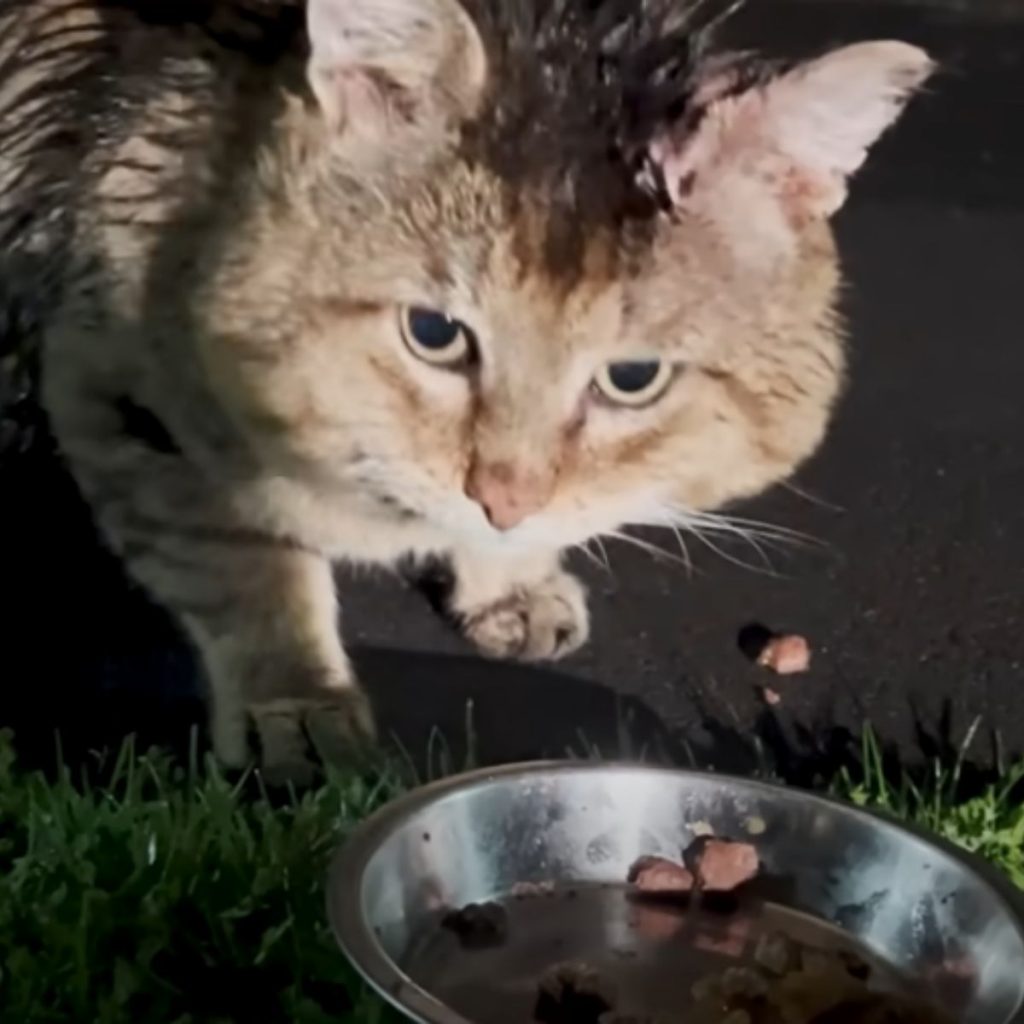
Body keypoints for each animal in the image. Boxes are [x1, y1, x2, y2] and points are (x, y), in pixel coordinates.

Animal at [0, 0, 933, 782]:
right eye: (434, 333)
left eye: (632, 377)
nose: (503, 498)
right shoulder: (116, 384)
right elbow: (239, 560)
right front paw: (297, 705)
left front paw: (510, 580)